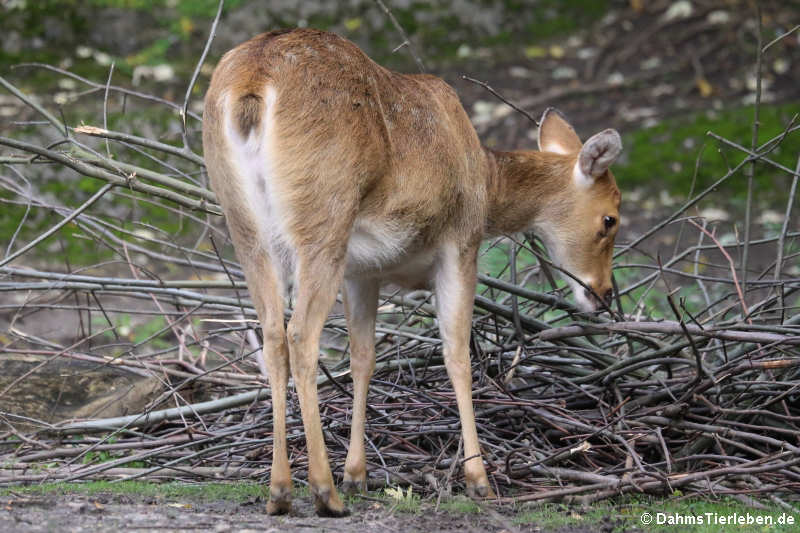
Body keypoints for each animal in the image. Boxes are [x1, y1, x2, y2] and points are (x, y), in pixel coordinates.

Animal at [203, 28, 620, 516]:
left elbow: (364, 358)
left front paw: (358, 474)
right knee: (301, 334)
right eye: (610, 219)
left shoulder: (361, 273)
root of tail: (251, 83)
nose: (603, 293)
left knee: (271, 334)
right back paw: (324, 493)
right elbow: (458, 355)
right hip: (322, 220)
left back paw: (281, 491)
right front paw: (479, 481)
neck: (485, 179)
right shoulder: (460, 244)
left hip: (244, 226)